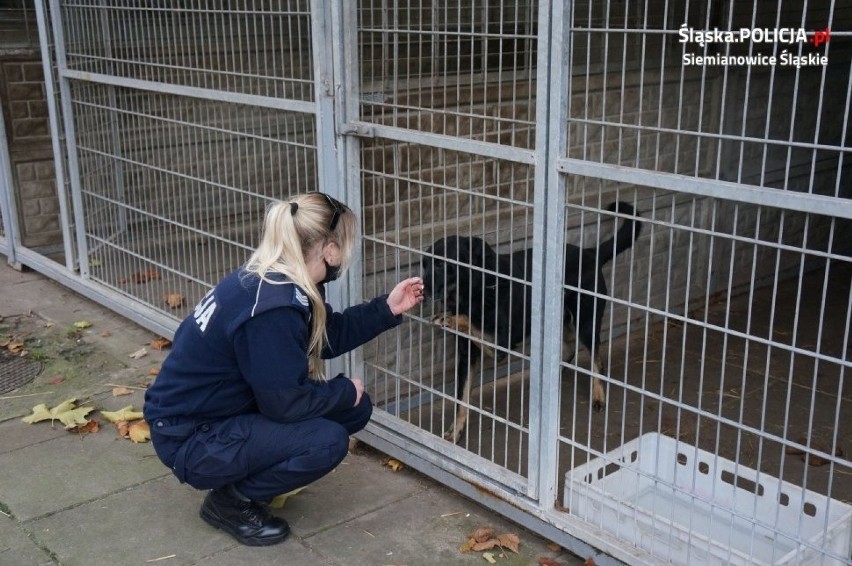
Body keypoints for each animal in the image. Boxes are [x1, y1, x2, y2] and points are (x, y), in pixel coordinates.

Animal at [422, 202, 644, 446]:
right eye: (424, 265)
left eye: (441, 265)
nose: (421, 290)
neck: (477, 288)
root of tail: (590, 253)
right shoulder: (467, 355)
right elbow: (461, 398)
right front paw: (456, 431)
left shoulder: (500, 344)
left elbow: (468, 321)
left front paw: (448, 318)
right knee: (568, 349)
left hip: (586, 321)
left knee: (596, 359)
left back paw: (597, 395)